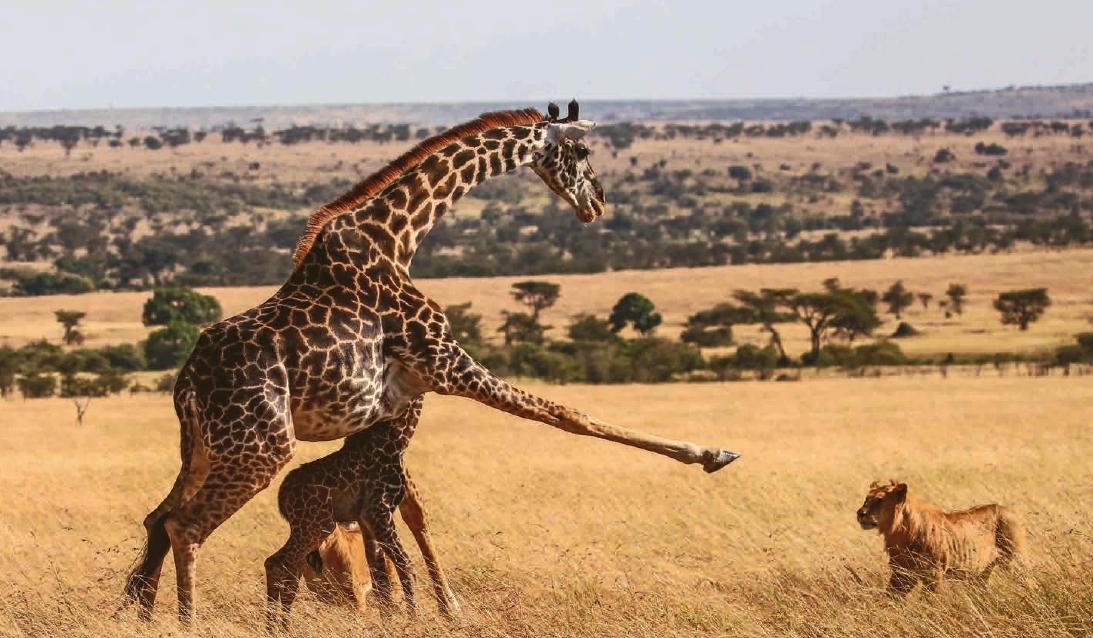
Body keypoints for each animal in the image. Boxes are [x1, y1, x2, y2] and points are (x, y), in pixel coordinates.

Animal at [266, 397, 459, 629]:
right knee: (279, 565)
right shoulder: (377, 511)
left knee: (285, 568)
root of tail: (282, 495)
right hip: (316, 528)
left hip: (318, 528)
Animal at [852, 480, 1023, 594]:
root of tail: (1008, 510)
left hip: (1015, 561)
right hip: (980, 574)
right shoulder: (900, 573)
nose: (860, 513)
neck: (897, 533)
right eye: (866, 499)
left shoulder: (934, 573)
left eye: (879, 500)